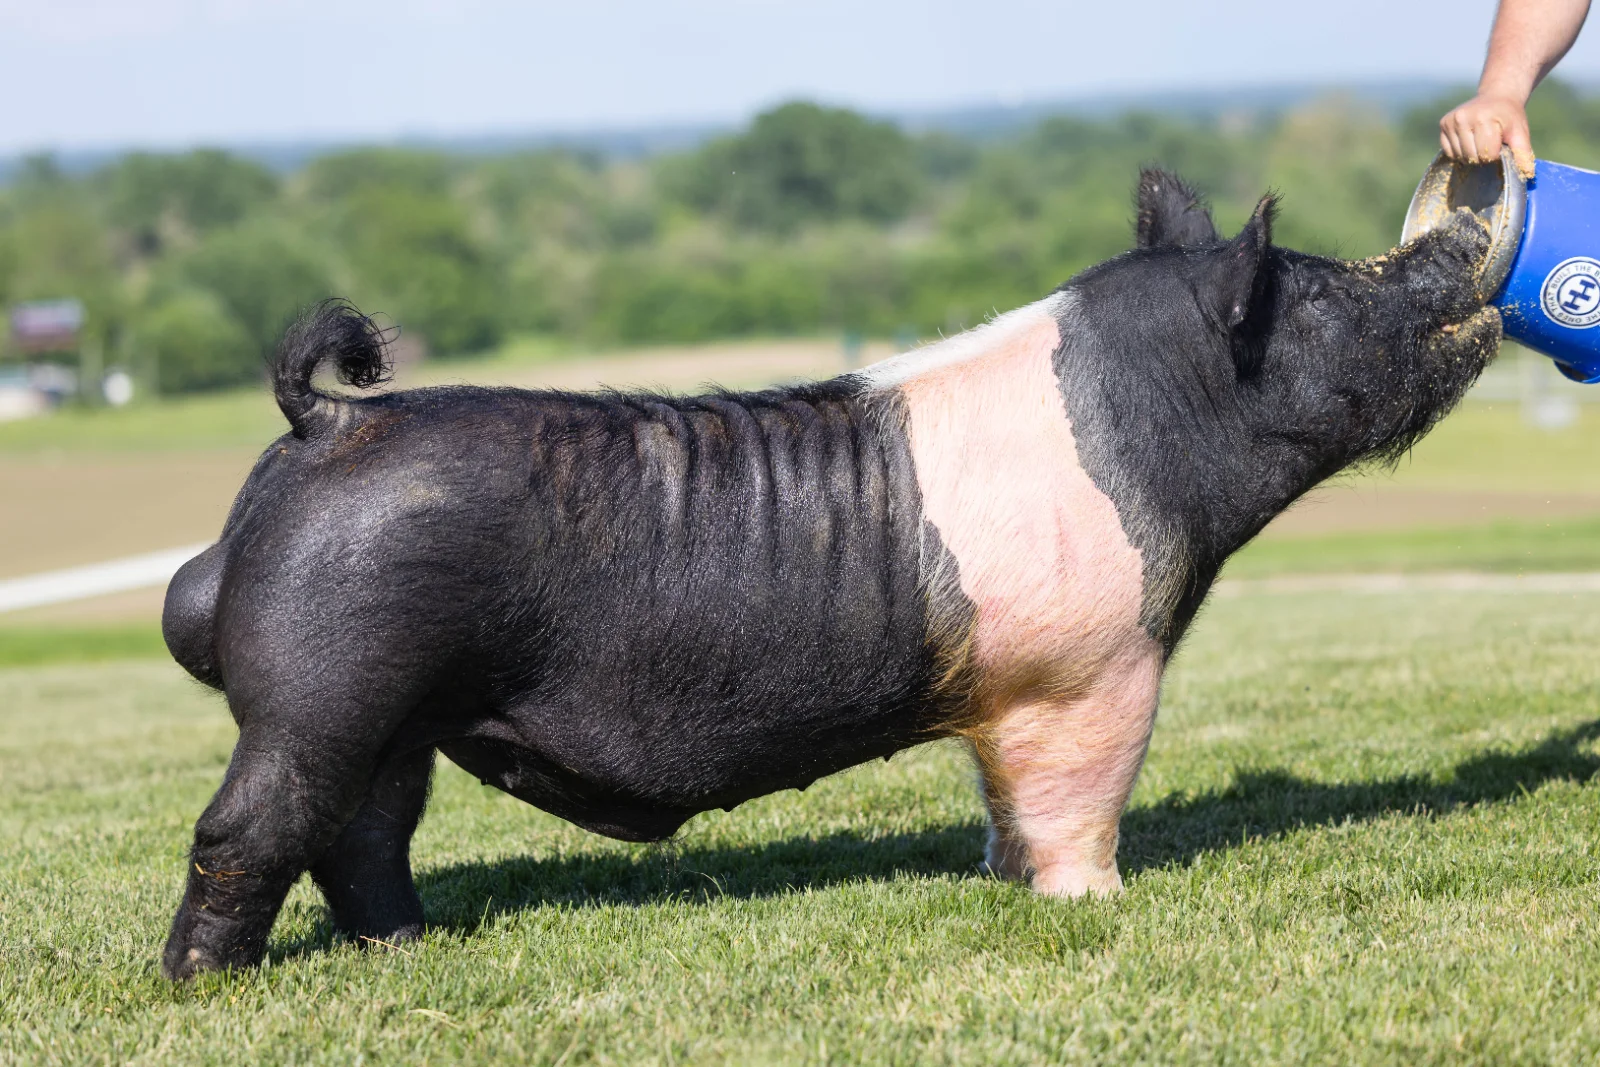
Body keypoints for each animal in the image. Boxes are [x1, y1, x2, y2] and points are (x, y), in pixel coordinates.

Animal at [159, 169, 1500, 978]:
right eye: (1321, 291)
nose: (1447, 238)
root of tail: (326, 422)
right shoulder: (1091, 668)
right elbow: (1079, 799)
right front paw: (1093, 908)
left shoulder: (1007, 695)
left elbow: (1001, 804)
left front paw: (1003, 880)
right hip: (326, 684)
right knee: (247, 826)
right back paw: (205, 985)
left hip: (394, 711)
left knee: (362, 834)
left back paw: (407, 948)